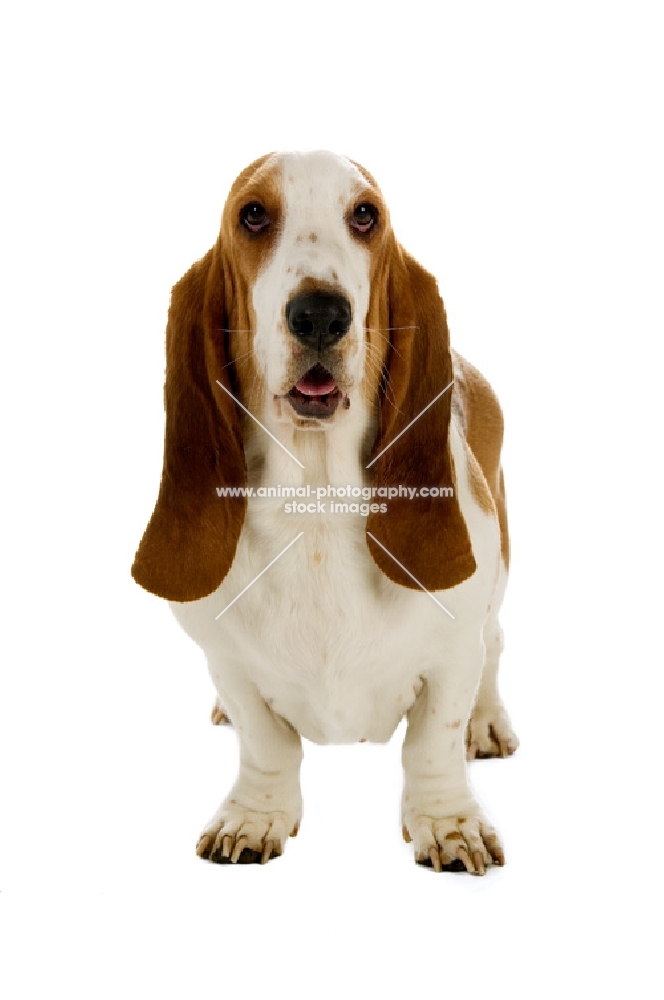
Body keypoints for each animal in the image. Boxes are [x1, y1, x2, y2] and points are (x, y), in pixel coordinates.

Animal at [132, 150, 520, 876]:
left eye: (365, 215)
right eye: (253, 215)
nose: (319, 314)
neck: (314, 500)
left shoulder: (454, 648)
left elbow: (433, 741)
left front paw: (448, 824)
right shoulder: (225, 656)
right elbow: (266, 743)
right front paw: (254, 816)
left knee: (496, 645)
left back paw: (488, 721)